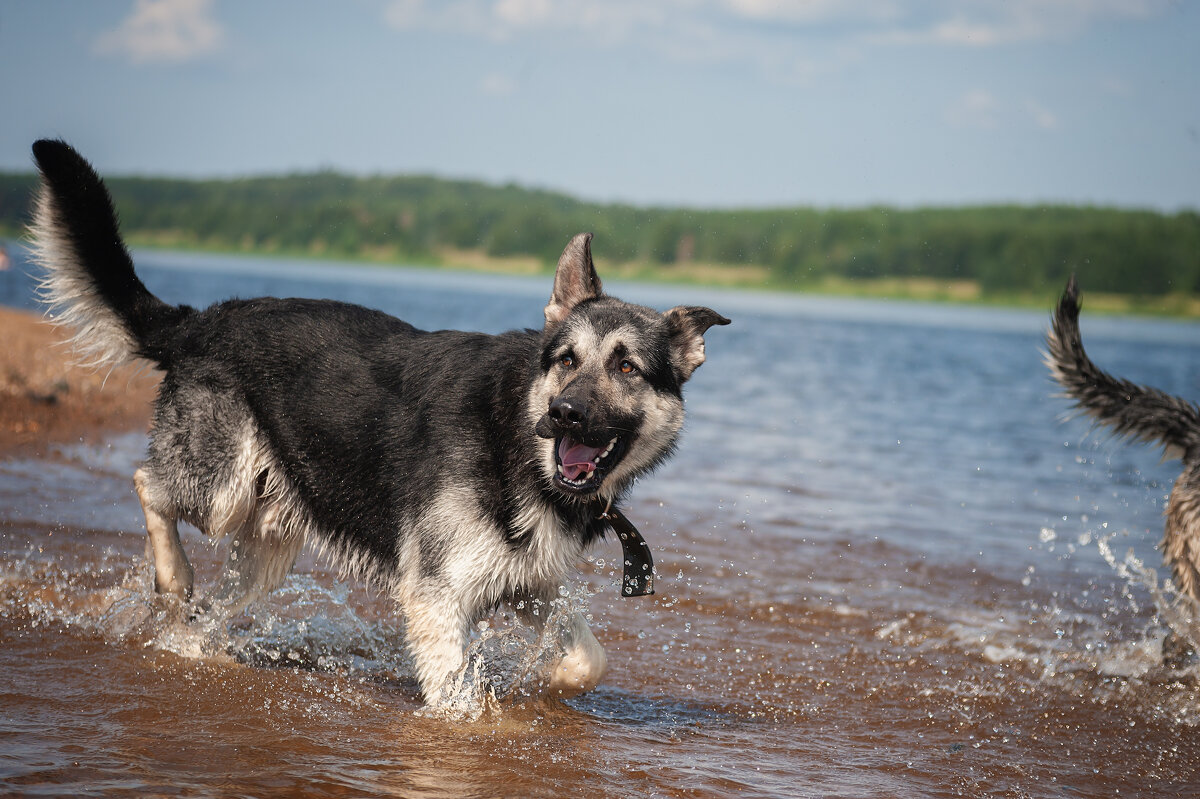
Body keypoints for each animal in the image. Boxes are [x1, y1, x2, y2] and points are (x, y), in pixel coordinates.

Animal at [30, 138, 729, 705]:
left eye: (627, 368)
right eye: (566, 360)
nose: (563, 415)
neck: (513, 438)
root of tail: (200, 320)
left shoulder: (525, 585)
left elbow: (587, 659)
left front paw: (548, 678)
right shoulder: (438, 597)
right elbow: (458, 700)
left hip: (267, 546)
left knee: (210, 614)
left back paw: (193, 643)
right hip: (220, 490)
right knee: (148, 484)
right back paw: (173, 579)